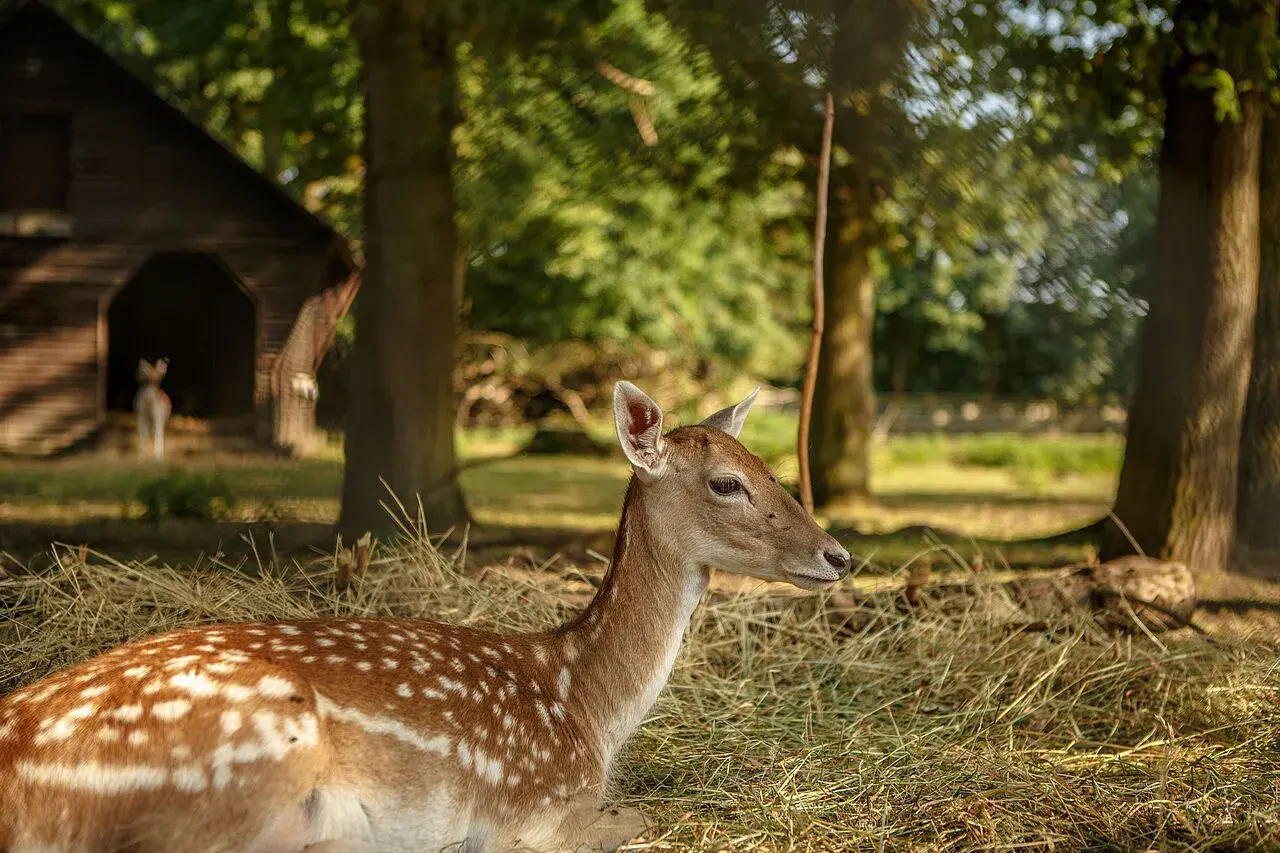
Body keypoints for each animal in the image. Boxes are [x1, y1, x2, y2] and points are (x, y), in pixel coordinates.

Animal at [0, 381, 853, 853]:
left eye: (769, 467)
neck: (585, 704)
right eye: (725, 483)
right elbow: (639, 817)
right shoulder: (526, 809)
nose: (839, 554)